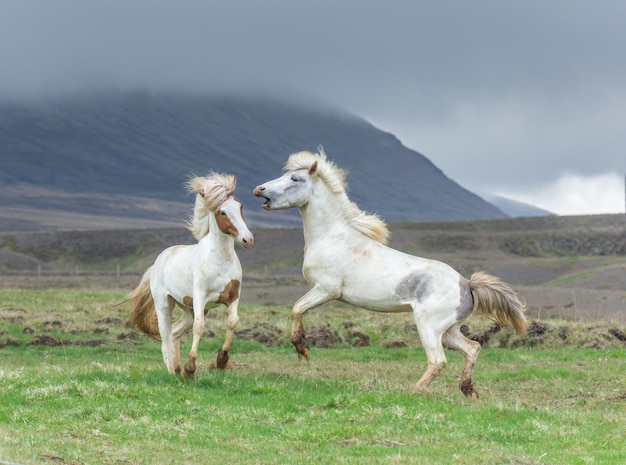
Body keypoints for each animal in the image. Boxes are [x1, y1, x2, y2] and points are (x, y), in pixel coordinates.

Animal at [125, 170, 252, 376]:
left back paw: (178, 369)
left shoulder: (233, 295)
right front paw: (190, 368)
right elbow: (199, 326)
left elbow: (233, 321)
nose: (247, 239)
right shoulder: (200, 296)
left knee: (175, 332)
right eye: (222, 212)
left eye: (240, 206)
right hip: (164, 305)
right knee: (165, 338)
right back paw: (172, 370)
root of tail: (158, 261)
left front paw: (222, 361)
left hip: (187, 307)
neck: (220, 261)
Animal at [251, 150, 524, 396]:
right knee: (472, 348)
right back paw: (468, 390)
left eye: (295, 179)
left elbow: (297, 308)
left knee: (438, 360)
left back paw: (415, 391)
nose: (259, 189)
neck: (332, 236)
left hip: (429, 327)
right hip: (449, 330)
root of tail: (466, 284)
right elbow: (297, 309)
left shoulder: (326, 290)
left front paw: (302, 348)